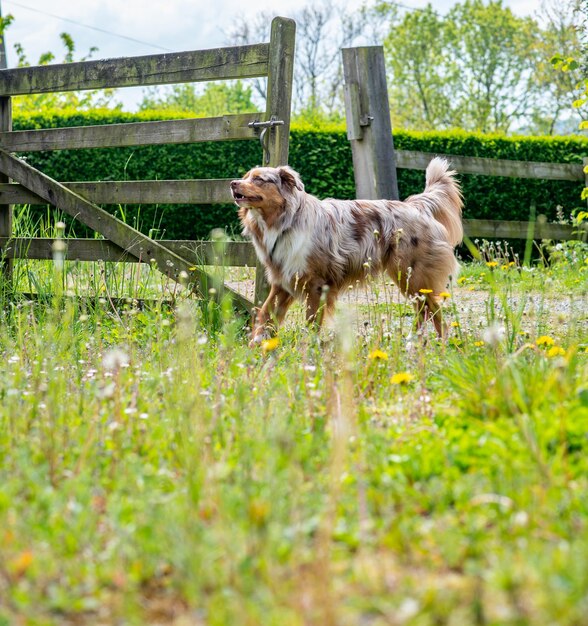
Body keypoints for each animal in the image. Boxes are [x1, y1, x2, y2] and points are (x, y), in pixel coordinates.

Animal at [231, 156, 464, 342]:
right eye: (245, 176)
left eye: (259, 179)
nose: (233, 183)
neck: (285, 222)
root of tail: (417, 206)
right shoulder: (283, 281)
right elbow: (265, 314)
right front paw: (257, 345)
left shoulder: (316, 285)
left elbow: (311, 322)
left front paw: (308, 351)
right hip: (407, 278)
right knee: (423, 310)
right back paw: (412, 344)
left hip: (414, 277)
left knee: (435, 312)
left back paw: (441, 346)